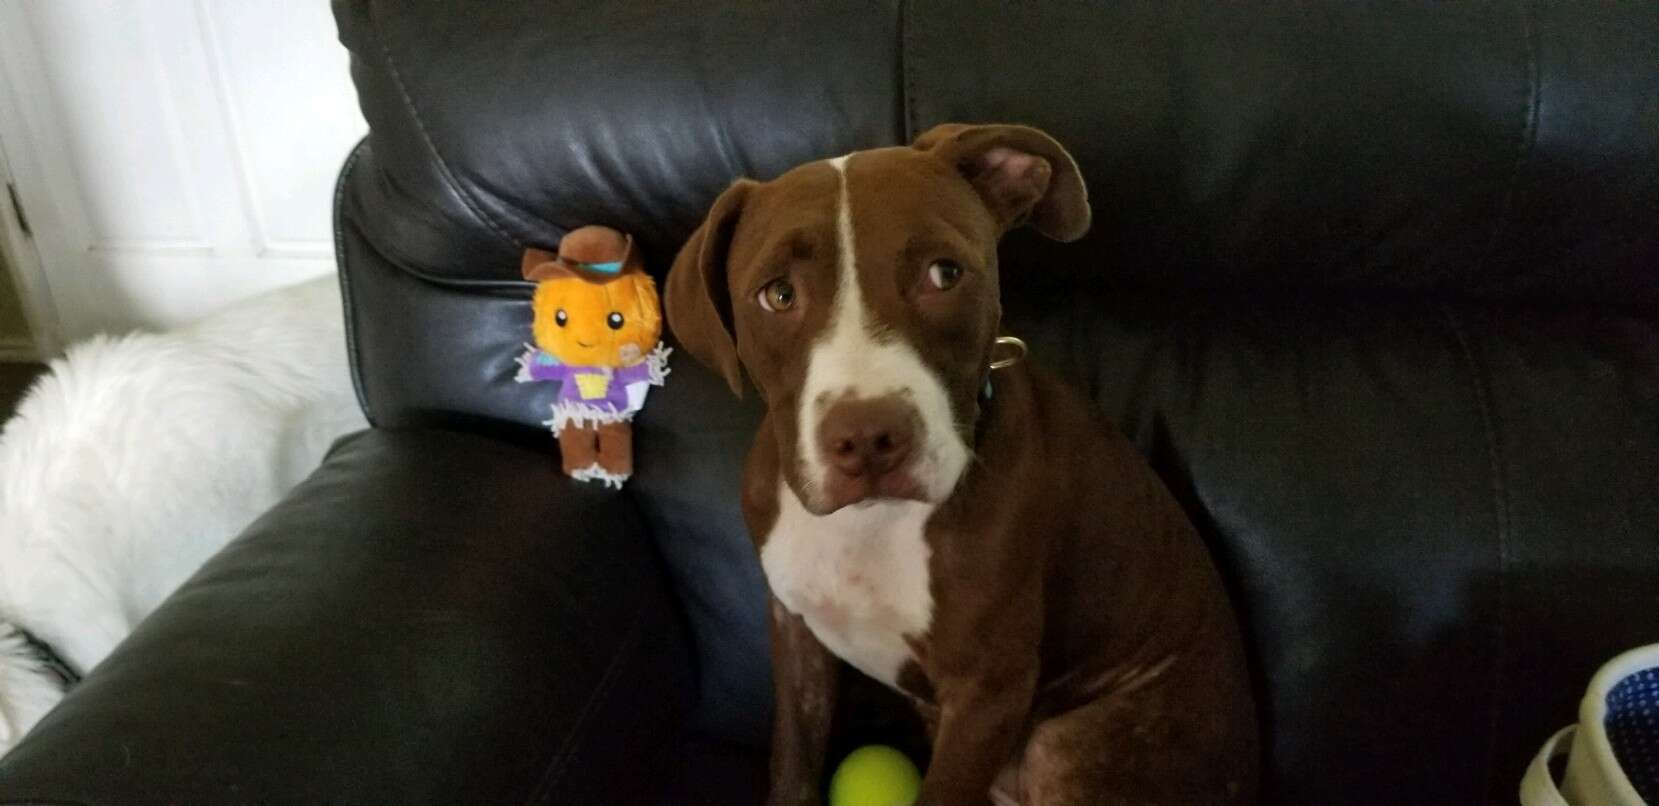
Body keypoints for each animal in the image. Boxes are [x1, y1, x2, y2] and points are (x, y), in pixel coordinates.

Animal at [666, 122, 1260, 802]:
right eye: (778, 294)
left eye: (944, 274)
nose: (868, 437)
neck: (870, 525)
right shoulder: (795, 633)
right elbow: (792, 762)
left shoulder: (987, 693)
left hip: (1075, 744)